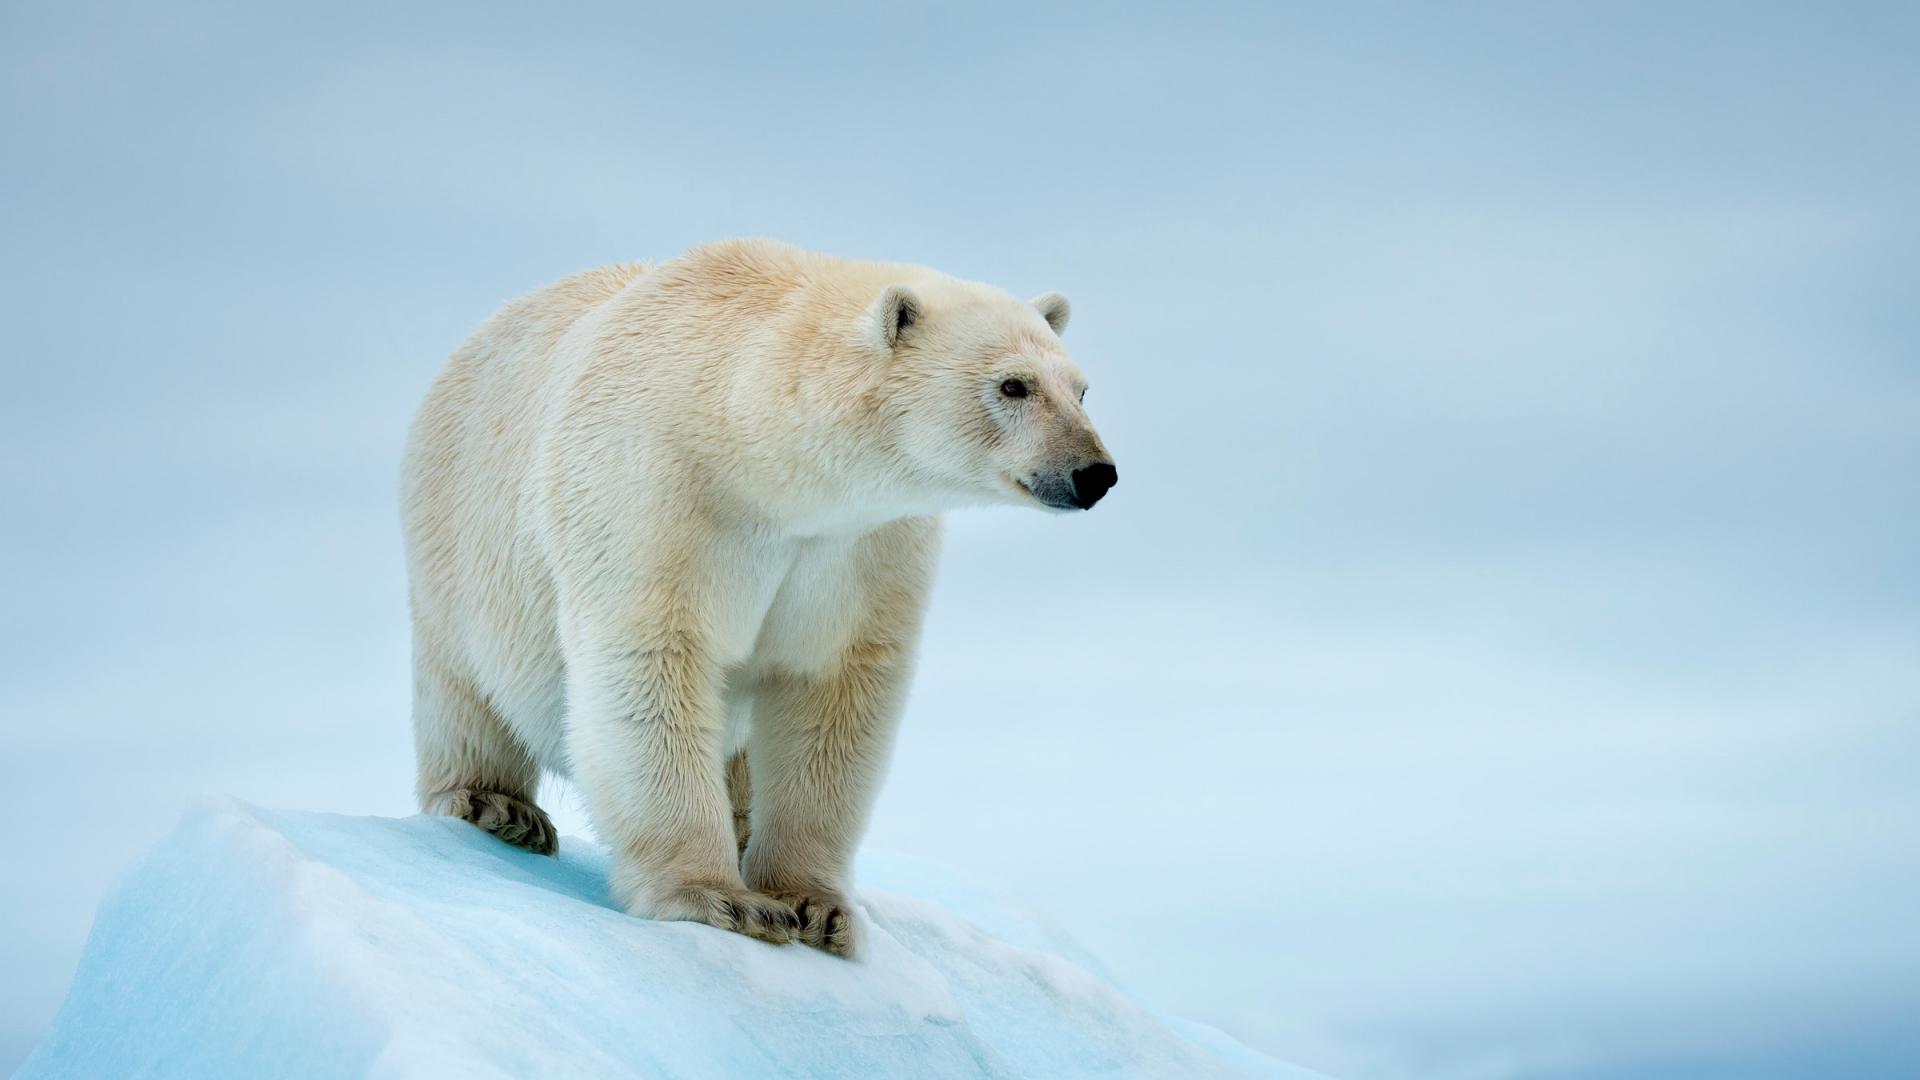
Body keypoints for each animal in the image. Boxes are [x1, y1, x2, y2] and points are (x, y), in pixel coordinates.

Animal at [401, 237, 1113, 949]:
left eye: (1081, 389)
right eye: (1013, 384)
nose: (1095, 473)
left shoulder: (860, 546)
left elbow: (834, 690)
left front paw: (815, 908)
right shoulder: (655, 492)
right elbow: (651, 662)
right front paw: (717, 897)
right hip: (459, 538)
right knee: (463, 688)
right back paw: (497, 805)